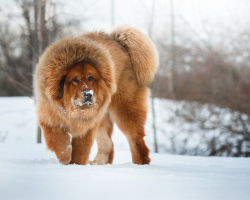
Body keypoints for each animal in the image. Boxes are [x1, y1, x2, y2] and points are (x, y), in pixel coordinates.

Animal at [34, 25, 158, 166]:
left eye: (90, 78)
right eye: (75, 79)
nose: (88, 94)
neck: (72, 111)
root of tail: (120, 44)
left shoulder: (86, 128)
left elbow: (80, 151)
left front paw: (75, 164)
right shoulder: (48, 118)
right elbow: (58, 139)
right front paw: (65, 156)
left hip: (125, 111)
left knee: (136, 141)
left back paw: (139, 164)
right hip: (102, 117)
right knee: (108, 143)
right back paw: (99, 162)